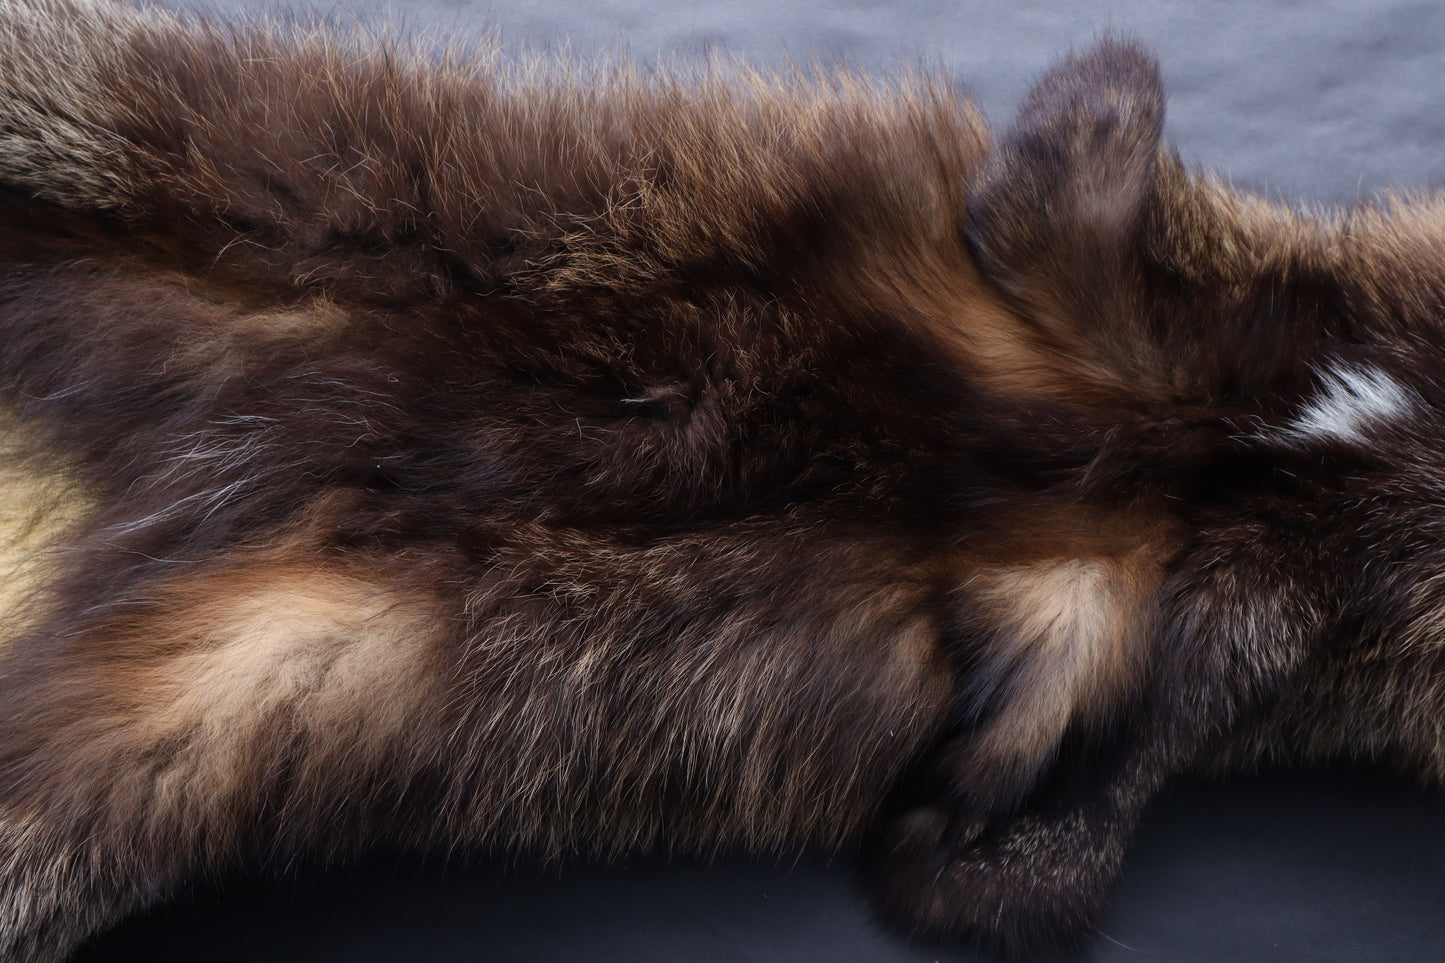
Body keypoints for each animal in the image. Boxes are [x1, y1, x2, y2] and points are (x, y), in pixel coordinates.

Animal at [0, 0, 1443, 959]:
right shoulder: (1127, 308)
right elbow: (1084, 138)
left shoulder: (1197, 614)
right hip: (160, 132)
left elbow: (1015, 831)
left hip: (170, 712)